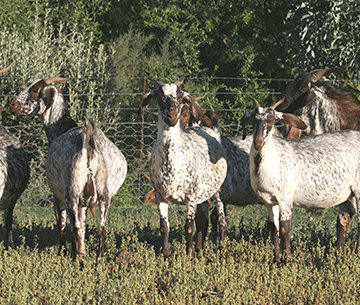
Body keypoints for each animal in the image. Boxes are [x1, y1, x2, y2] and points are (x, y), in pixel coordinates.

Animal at [10, 78, 128, 258]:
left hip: (71, 192)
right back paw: (98, 258)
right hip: (103, 194)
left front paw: (62, 251)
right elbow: (84, 223)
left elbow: (62, 224)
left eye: (35, 90)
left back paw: (73, 258)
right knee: (100, 226)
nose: (13, 104)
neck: (61, 129)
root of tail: (89, 144)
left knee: (74, 226)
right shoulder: (84, 201)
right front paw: (82, 251)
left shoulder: (57, 195)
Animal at [134, 81, 226, 256]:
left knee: (222, 219)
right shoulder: (160, 196)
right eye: (159, 95)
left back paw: (220, 249)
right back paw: (199, 249)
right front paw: (166, 255)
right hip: (202, 197)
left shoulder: (191, 197)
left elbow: (188, 227)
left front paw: (188, 255)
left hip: (218, 190)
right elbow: (164, 228)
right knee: (203, 220)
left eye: (180, 96)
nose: (171, 116)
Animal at [240, 98, 360, 260]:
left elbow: (285, 229)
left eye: (272, 120)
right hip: (349, 194)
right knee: (344, 219)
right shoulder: (269, 200)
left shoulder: (285, 197)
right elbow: (273, 229)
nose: (258, 142)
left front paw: (288, 259)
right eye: (253, 119)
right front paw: (277, 259)